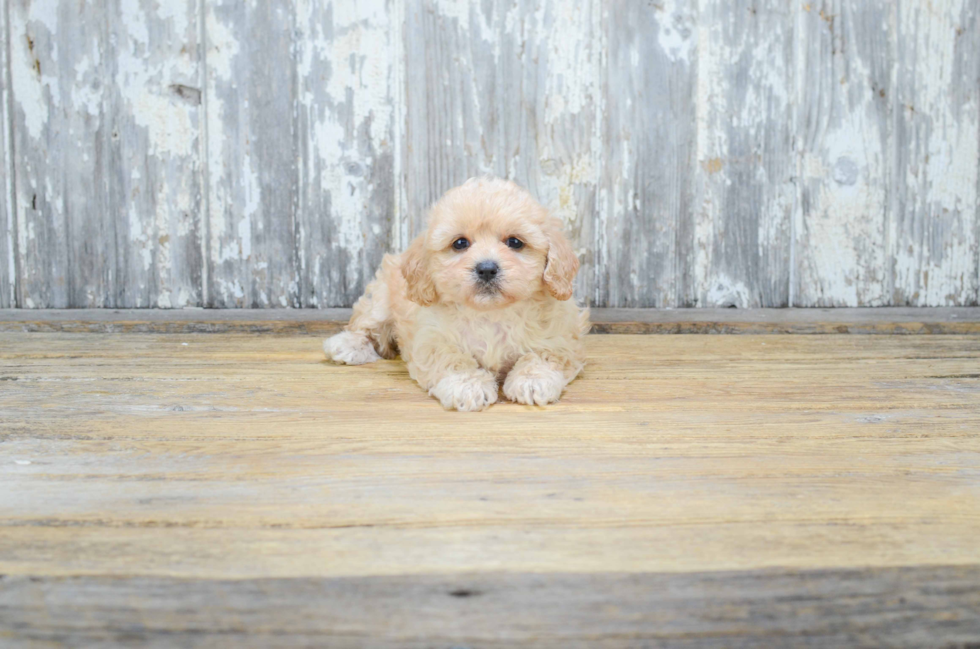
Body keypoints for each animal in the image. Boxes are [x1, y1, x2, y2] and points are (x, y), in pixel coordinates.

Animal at [328, 177, 588, 410]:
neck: (491, 313)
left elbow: (543, 355)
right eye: (460, 243)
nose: (487, 268)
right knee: (367, 324)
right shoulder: (431, 337)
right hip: (382, 298)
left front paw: (532, 381)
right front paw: (468, 385)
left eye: (515, 242)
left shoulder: (560, 335)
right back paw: (347, 344)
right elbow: (451, 358)